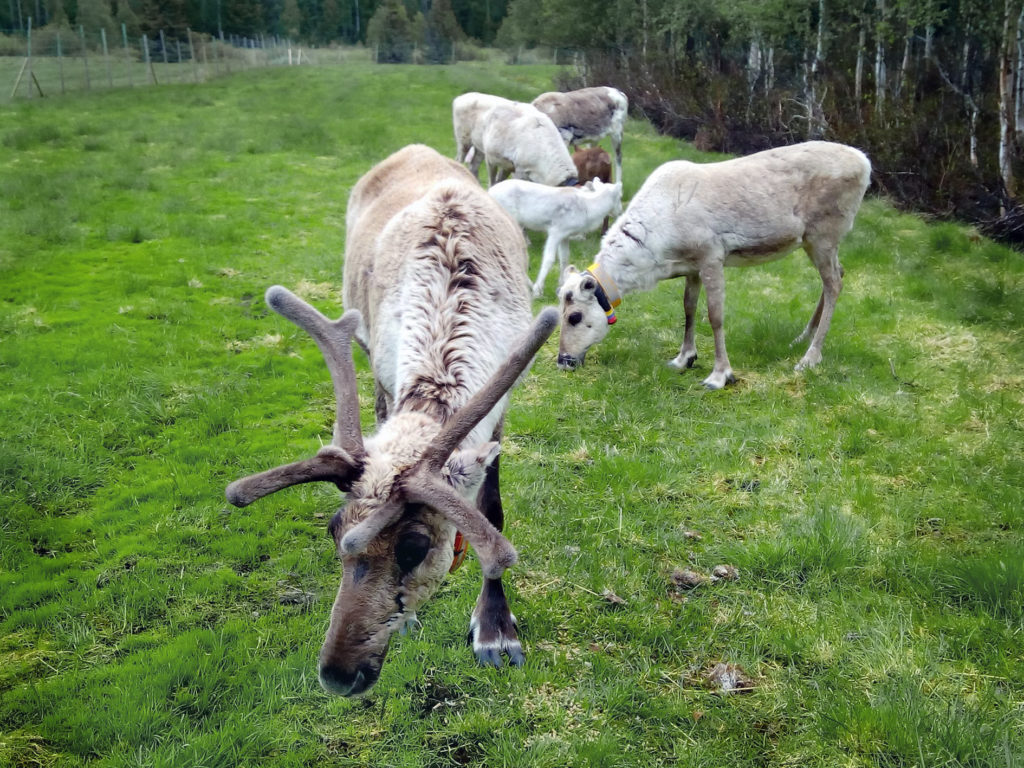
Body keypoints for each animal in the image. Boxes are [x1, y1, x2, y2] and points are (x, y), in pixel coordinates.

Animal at [489, 178, 622, 296]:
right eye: (620, 197)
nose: (619, 212)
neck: (589, 209)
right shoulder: (556, 231)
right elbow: (549, 258)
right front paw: (538, 290)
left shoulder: (565, 235)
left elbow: (564, 258)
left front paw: (562, 284)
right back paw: (530, 286)